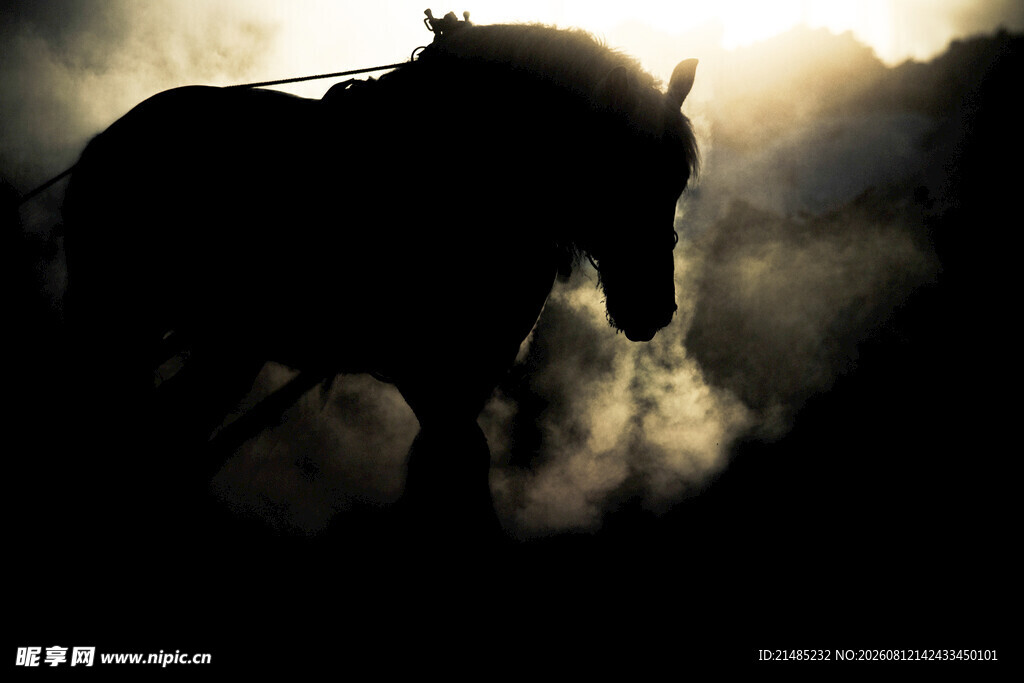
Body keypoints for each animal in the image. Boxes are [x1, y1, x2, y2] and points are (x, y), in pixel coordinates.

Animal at [61, 18, 699, 539]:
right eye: (620, 173)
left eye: (674, 184)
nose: (652, 308)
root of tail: (110, 138)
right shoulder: (428, 371)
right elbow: (456, 465)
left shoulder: (473, 370)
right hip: (126, 316)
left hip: (225, 341)